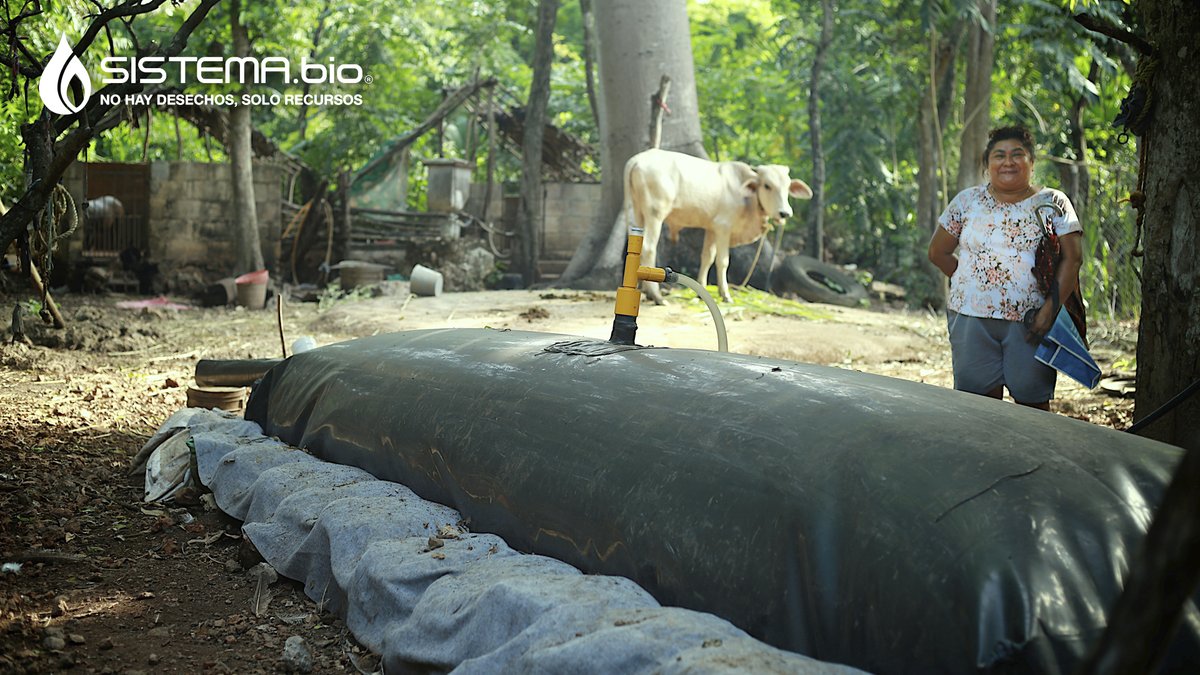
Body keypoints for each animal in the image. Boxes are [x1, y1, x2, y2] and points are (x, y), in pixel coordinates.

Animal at [624, 150, 811, 305]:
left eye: (788, 187)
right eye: (767, 185)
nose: (784, 213)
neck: (746, 198)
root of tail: (636, 159)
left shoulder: (712, 229)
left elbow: (707, 258)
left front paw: (701, 291)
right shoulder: (723, 227)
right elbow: (723, 261)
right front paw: (725, 295)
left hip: (639, 213)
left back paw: (643, 290)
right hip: (655, 214)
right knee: (649, 248)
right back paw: (657, 296)